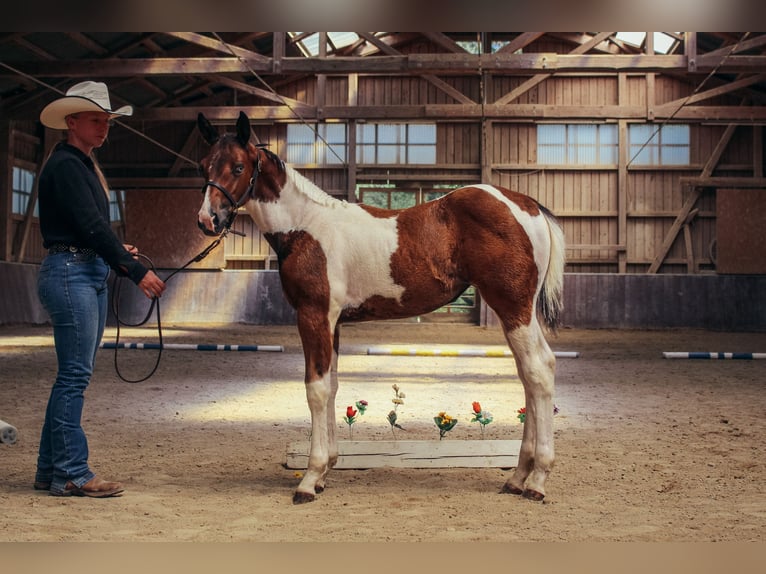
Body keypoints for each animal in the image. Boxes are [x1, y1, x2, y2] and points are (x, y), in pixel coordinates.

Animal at [196, 111, 566, 504]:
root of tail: (527, 206)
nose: (207, 220)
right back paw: (518, 476)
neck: (305, 227)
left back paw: (536, 479)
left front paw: (310, 479)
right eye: (204, 165)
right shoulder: (333, 323)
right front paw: (326, 470)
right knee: (528, 377)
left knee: (539, 370)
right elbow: (333, 384)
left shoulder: (314, 315)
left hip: (514, 307)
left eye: (238, 167)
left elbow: (317, 388)